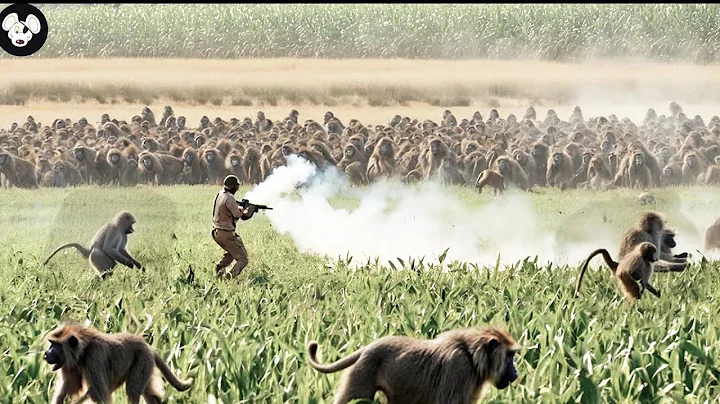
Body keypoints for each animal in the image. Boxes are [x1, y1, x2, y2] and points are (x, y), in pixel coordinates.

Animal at [44, 322, 193, 404]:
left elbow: (98, 393)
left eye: (55, 345)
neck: (83, 350)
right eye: (51, 343)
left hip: (142, 360)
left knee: (132, 392)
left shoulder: (94, 358)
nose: (46, 353)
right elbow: (66, 390)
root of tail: (148, 346)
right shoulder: (70, 365)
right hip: (147, 362)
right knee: (149, 394)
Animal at [307, 325, 519, 404]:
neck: (471, 355)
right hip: (364, 370)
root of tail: (368, 347)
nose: (516, 374)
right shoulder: (459, 369)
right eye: (510, 355)